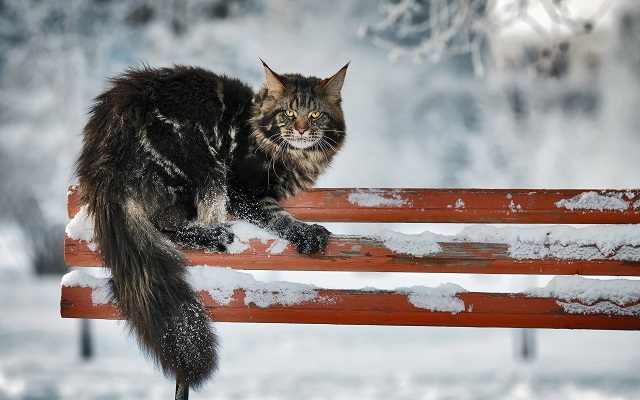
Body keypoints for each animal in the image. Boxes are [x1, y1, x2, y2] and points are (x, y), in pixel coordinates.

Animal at [75, 61, 350, 390]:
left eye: (316, 114)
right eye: (288, 112)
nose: (301, 129)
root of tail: (101, 154)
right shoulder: (242, 190)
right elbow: (277, 216)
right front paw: (307, 233)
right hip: (202, 167)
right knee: (164, 226)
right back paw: (214, 235)